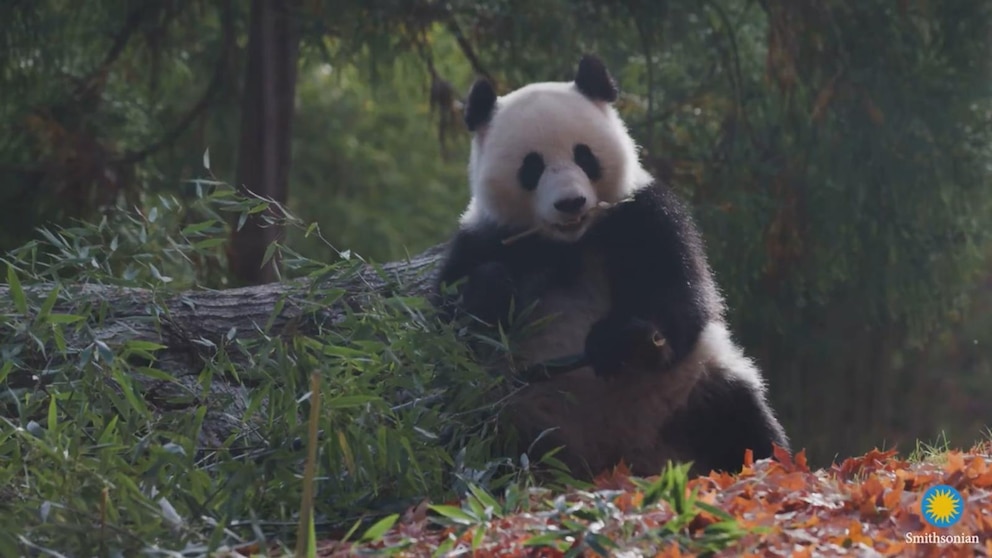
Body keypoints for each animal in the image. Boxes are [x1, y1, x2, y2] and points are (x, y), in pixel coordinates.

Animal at [436, 53, 792, 482]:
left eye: (584, 155)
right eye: (532, 166)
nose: (570, 203)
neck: (570, 243)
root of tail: (622, 459)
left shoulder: (643, 216)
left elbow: (680, 299)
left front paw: (618, 339)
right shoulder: (483, 240)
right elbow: (449, 331)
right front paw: (492, 287)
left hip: (692, 389)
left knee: (742, 424)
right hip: (522, 414)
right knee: (481, 442)